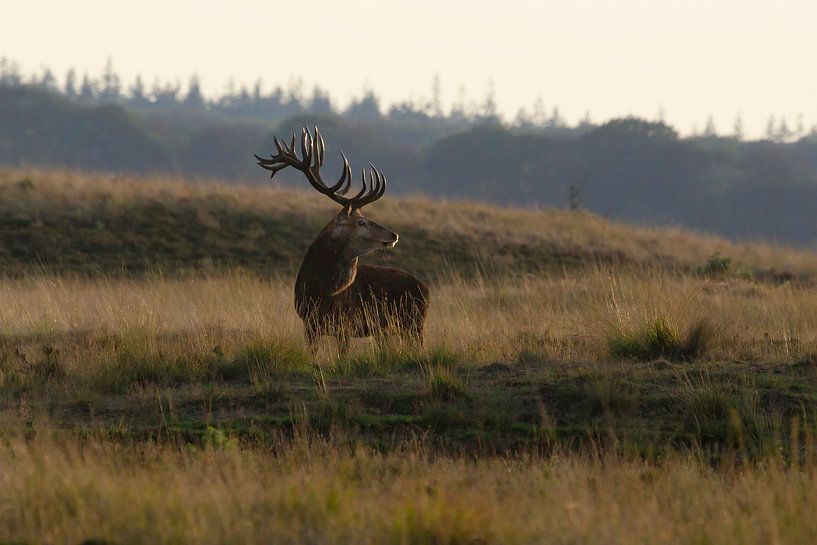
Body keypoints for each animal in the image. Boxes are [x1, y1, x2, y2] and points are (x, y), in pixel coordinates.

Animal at [255, 127, 429, 357]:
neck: (318, 291)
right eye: (361, 222)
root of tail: (426, 290)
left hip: (413, 322)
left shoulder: (345, 324)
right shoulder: (309, 324)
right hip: (390, 328)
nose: (393, 235)